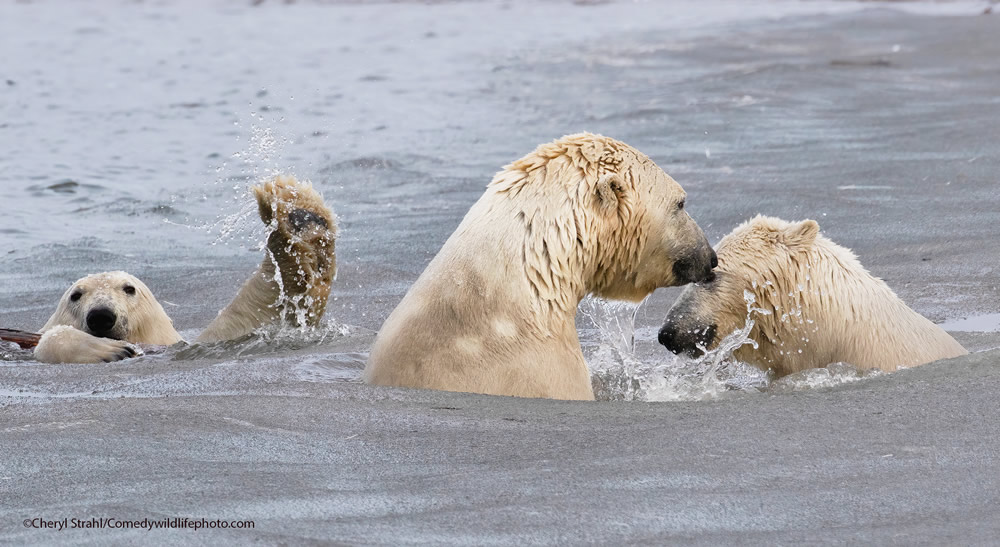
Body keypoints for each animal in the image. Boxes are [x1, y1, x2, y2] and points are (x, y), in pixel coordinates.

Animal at [33, 176, 338, 364]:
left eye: (129, 289)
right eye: (76, 295)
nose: (101, 316)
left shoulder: (185, 344)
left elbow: (256, 316)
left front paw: (298, 215)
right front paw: (110, 350)